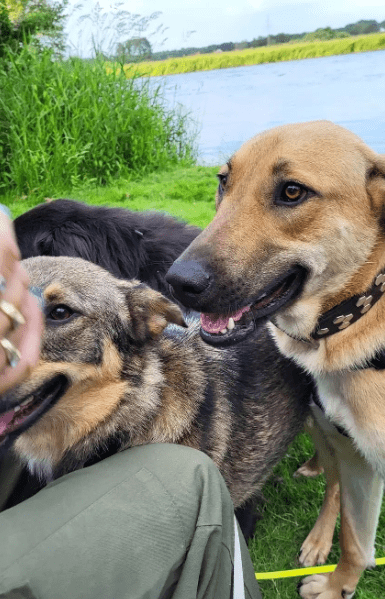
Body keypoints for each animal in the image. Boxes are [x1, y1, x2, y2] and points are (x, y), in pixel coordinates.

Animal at [168, 119, 385, 596]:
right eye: (223, 181)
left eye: (292, 192)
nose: (178, 282)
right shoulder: (358, 457)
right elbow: (355, 540)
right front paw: (338, 586)